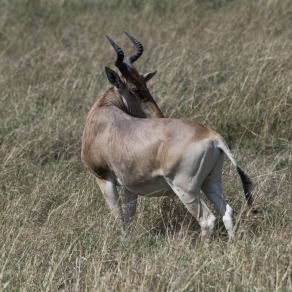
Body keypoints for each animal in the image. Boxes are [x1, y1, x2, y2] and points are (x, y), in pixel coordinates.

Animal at [81, 32, 253, 242]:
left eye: (143, 86)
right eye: (137, 88)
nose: (160, 116)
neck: (104, 112)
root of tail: (212, 136)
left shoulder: (104, 178)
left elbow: (118, 217)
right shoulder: (130, 186)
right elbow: (128, 217)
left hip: (185, 189)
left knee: (207, 219)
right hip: (210, 181)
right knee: (227, 212)